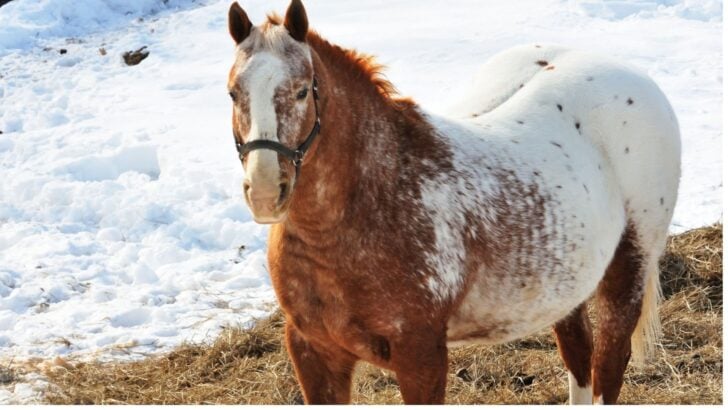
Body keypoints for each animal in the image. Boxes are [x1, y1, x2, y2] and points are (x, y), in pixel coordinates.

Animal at [225, 0, 680, 404]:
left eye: (303, 91)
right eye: (232, 92)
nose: (265, 190)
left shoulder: (421, 355)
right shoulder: (312, 350)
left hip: (629, 267)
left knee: (609, 362)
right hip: (565, 280)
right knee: (578, 353)